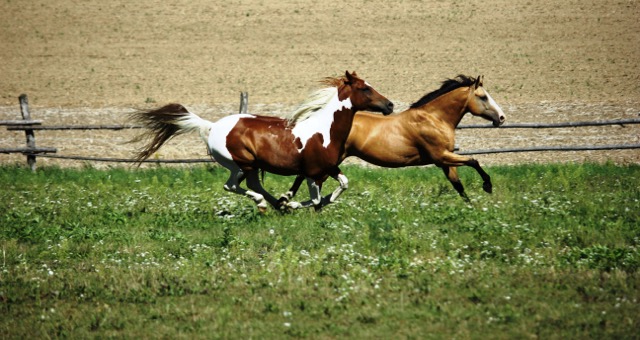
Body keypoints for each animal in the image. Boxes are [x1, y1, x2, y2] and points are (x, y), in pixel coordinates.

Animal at [129, 70, 392, 211]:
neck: (324, 131)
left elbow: (343, 184)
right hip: (240, 163)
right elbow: (316, 199)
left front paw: (291, 201)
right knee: (234, 186)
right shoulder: (313, 172)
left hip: (251, 166)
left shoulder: (329, 168)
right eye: (365, 89)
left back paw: (276, 204)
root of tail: (211, 126)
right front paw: (294, 204)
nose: (389, 105)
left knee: (251, 185)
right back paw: (267, 204)